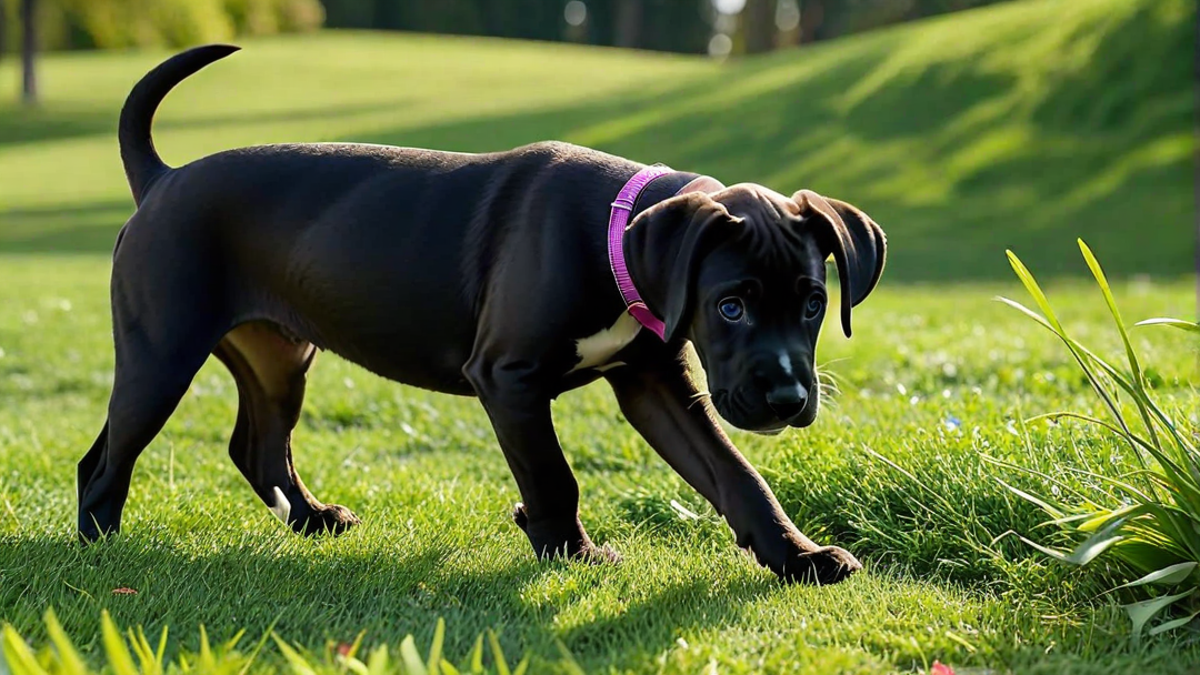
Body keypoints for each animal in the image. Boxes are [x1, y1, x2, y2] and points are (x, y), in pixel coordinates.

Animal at [75, 45, 883, 583]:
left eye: (814, 303)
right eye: (731, 305)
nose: (788, 398)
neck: (614, 239)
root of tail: (163, 179)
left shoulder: (657, 383)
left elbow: (736, 475)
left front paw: (799, 557)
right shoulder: (510, 378)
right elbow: (554, 476)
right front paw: (571, 551)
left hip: (277, 354)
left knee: (258, 446)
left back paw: (311, 520)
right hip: (161, 350)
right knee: (105, 457)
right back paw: (101, 549)